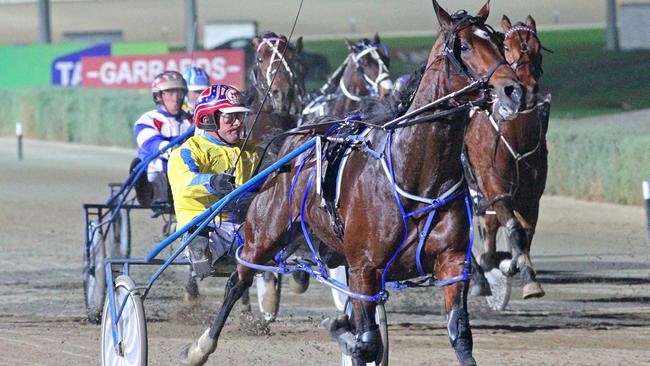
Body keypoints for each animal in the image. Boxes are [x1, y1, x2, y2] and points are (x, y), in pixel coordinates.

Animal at [177, 1, 520, 364]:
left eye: (499, 41)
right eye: (464, 46)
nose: (513, 89)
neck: (417, 172)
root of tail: (294, 138)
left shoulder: (452, 263)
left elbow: (460, 336)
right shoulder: (364, 269)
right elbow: (366, 339)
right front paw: (342, 329)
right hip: (264, 233)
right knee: (238, 279)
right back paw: (200, 346)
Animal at [464, 15, 548, 300]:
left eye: (537, 48)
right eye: (506, 47)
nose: (528, 90)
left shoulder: (531, 195)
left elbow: (526, 234)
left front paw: (517, 269)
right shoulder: (496, 189)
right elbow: (515, 229)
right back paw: (478, 276)